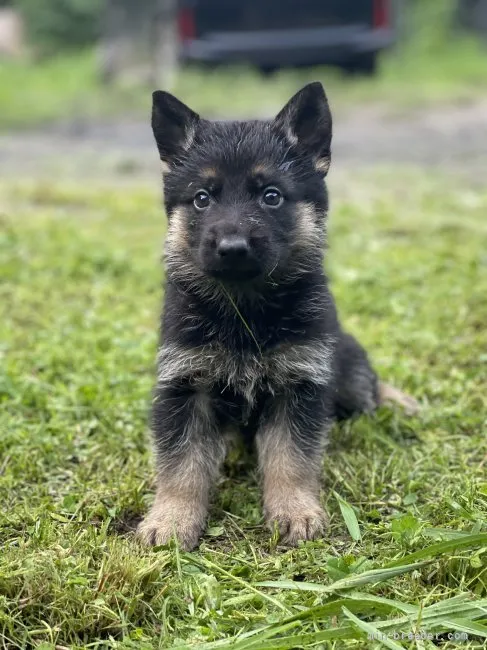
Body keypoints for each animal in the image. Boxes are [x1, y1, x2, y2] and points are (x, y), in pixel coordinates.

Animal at [138, 79, 420, 548]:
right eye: (201, 199)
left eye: (271, 197)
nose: (232, 248)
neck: (244, 312)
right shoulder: (185, 387)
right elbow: (181, 464)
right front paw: (172, 518)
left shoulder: (298, 386)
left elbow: (291, 459)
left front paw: (294, 511)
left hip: (345, 374)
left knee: (369, 388)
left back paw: (401, 401)